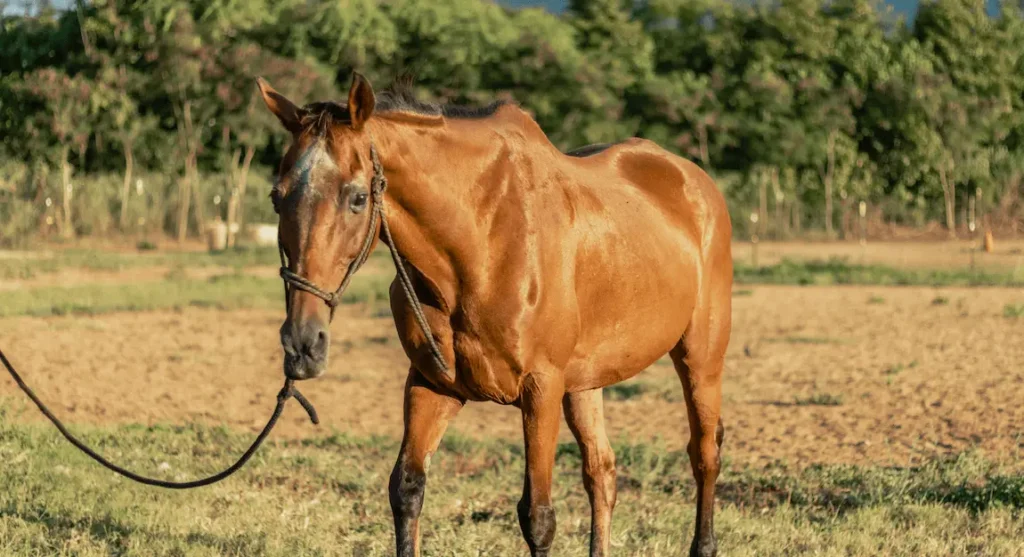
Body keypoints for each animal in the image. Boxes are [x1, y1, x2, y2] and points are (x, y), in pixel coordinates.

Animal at [260, 73, 733, 557]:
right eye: (277, 198)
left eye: (357, 198)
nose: (302, 343)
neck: (482, 242)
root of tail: (694, 180)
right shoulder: (432, 384)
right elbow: (407, 490)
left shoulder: (542, 388)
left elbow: (538, 517)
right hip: (586, 383)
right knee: (601, 472)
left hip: (700, 358)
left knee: (704, 454)